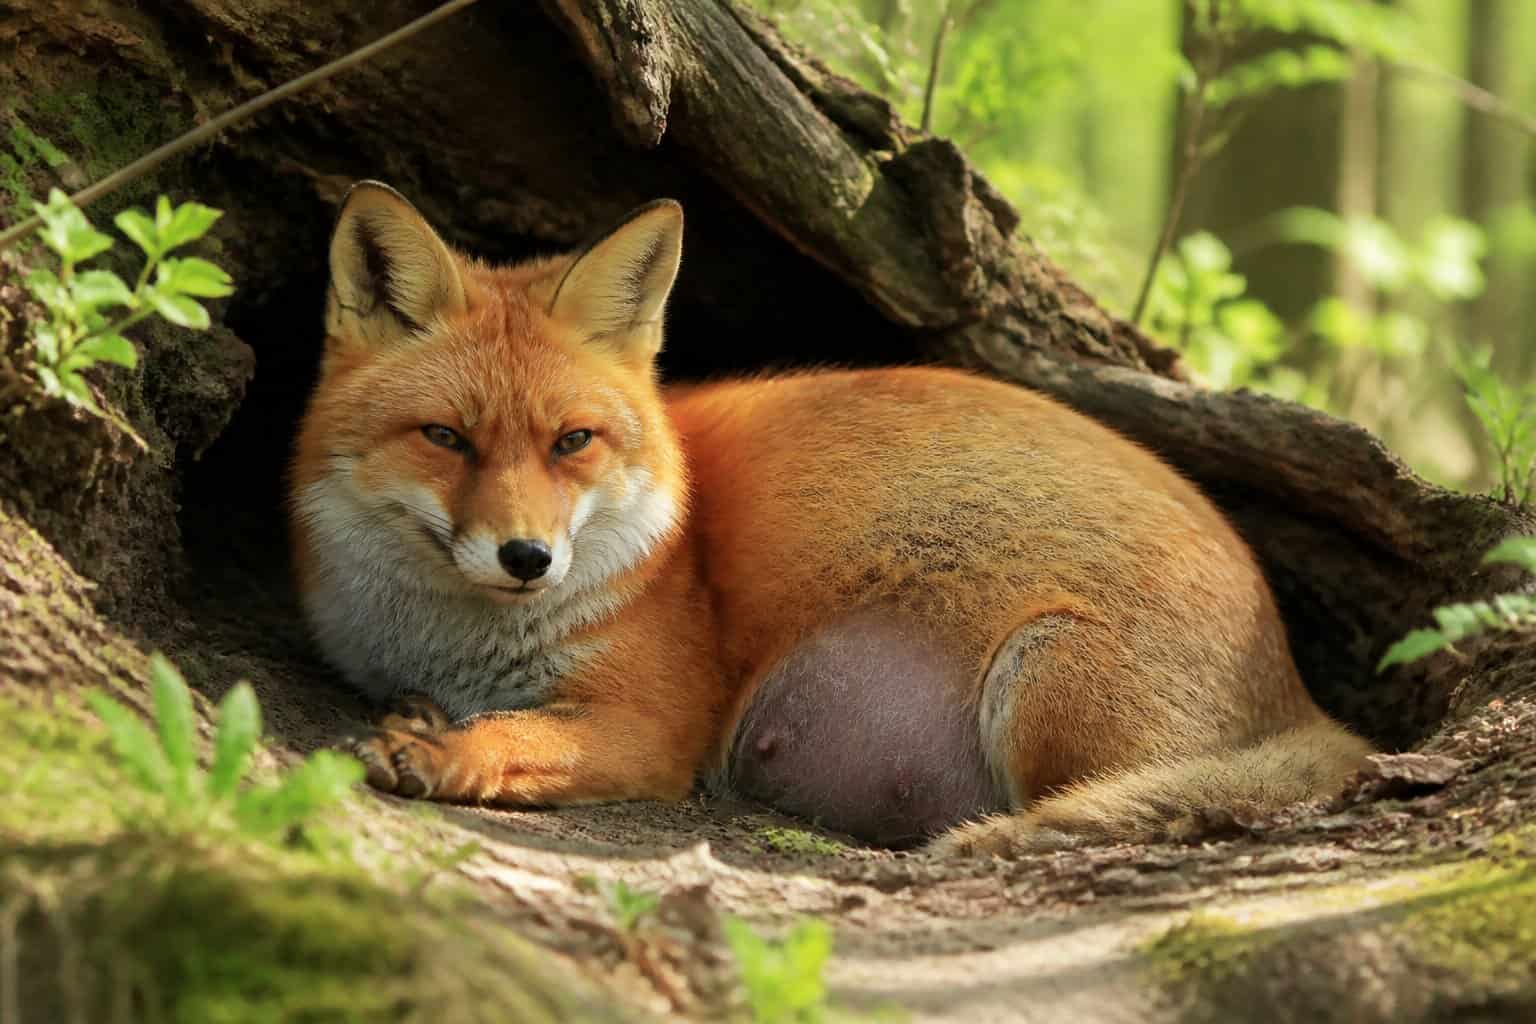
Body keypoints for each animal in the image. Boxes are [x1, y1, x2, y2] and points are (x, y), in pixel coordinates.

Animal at [289, 180, 1374, 855]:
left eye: (572, 442)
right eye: (446, 437)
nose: (527, 557)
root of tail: (1301, 690)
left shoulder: (654, 724)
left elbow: (514, 735)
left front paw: (444, 752)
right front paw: (433, 723)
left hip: (1043, 679)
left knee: (1119, 806)